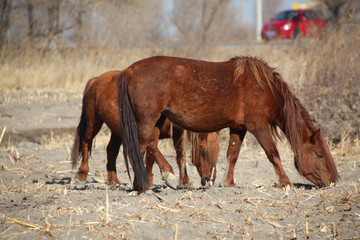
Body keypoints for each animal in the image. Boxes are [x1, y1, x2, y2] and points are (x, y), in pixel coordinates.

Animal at [69, 70, 218, 188]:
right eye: (204, 153)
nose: (210, 180)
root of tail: (95, 79)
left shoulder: (177, 133)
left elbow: (178, 155)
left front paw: (184, 182)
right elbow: (152, 154)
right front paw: (156, 180)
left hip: (117, 131)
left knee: (111, 150)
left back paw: (114, 182)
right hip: (93, 122)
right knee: (86, 143)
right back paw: (81, 176)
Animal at [119, 55, 340, 192]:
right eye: (320, 154)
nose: (332, 181)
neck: (265, 87)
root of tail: (131, 69)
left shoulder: (238, 128)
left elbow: (233, 154)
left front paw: (229, 182)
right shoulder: (258, 126)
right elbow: (273, 153)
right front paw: (285, 182)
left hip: (158, 119)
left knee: (150, 145)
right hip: (148, 119)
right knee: (141, 146)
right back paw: (147, 184)